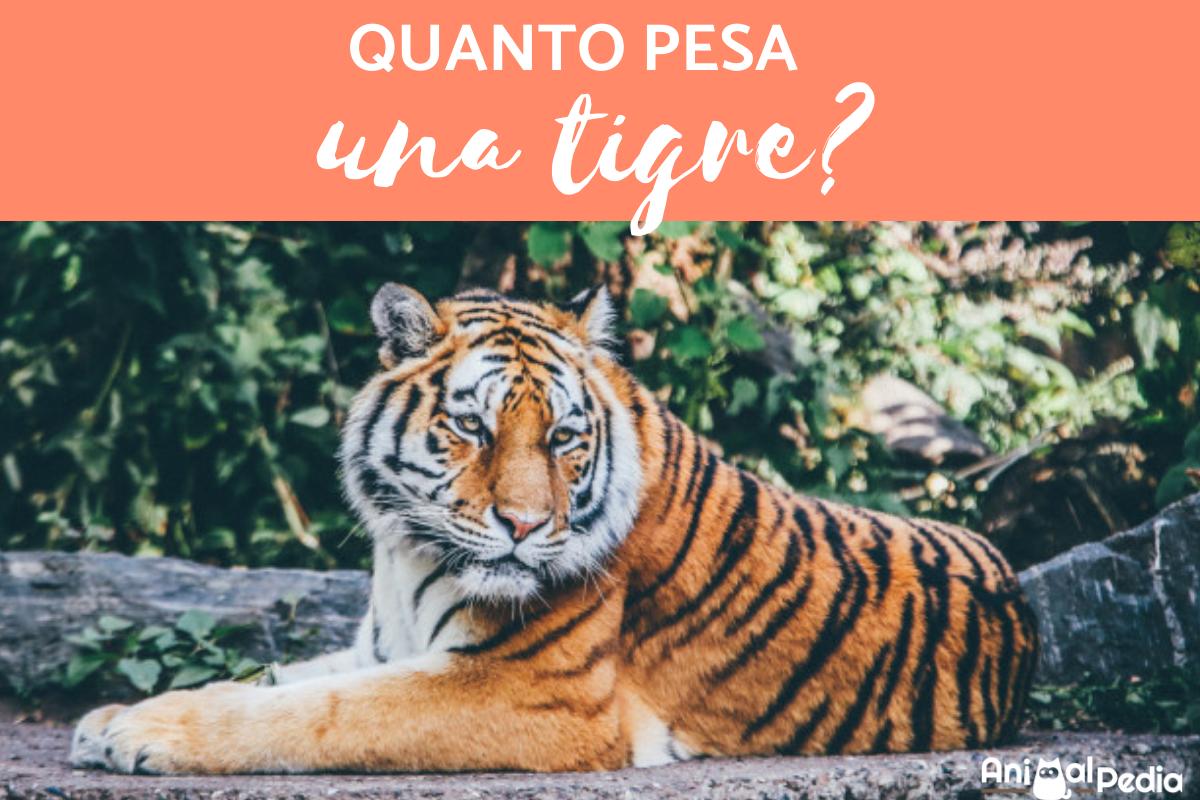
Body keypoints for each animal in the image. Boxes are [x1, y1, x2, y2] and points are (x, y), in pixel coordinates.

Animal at [70, 283, 1038, 775]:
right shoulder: (383, 647)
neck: (405, 553)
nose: (526, 525)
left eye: (565, 438)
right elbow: (274, 679)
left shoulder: (530, 691)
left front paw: (141, 735)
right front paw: (113, 716)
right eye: (473, 427)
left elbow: (315, 714)